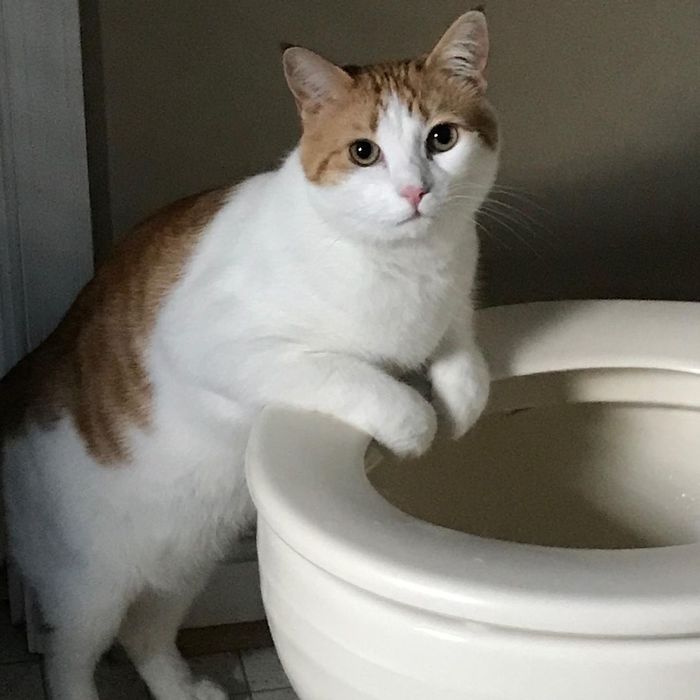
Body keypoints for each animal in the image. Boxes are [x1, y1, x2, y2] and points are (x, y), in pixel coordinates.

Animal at [0, 9, 498, 700]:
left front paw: (460, 398)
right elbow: (347, 373)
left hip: (183, 570)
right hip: (88, 591)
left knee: (147, 634)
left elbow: (462, 351)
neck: (410, 268)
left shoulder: (454, 297)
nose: (414, 193)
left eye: (443, 139)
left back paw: (184, 691)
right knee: (71, 658)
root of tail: (15, 386)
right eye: (363, 152)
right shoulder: (215, 344)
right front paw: (412, 422)